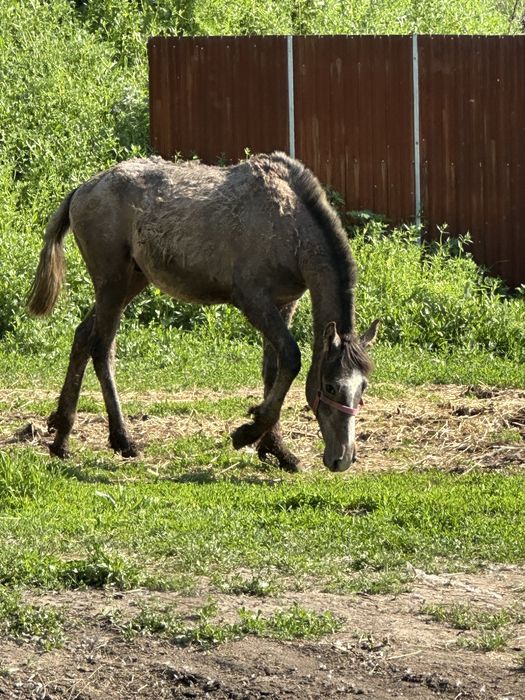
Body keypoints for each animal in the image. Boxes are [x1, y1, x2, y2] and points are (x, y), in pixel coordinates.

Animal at [27, 152, 378, 472]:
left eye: (362, 388)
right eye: (330, 386)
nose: (343, 458)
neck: (290, 223)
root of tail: (82, 189)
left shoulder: (284, 303)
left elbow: (273, 369)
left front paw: (276, 449)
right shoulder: (254, 301)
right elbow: (291, 359)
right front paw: (248, 432)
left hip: (131, 282)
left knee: (83, 337)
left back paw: (61, 437)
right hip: (112, 283)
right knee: (101, 348)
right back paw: (122, 439)